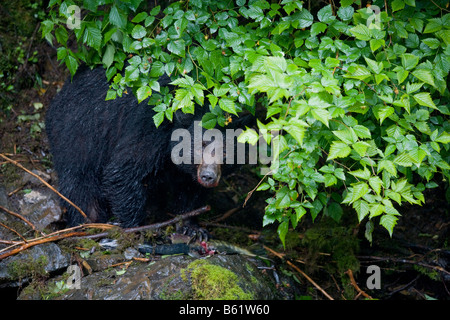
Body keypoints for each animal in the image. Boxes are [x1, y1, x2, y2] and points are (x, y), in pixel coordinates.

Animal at [44, 66, 246, 231]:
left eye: (226, 151)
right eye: (201, 145)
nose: (208, 176)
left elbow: (190, 187)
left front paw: (191, 226)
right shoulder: (149, 129)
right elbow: (123, 171)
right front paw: (137, 226)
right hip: (77, 132)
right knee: (79, 179)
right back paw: (89, 221)